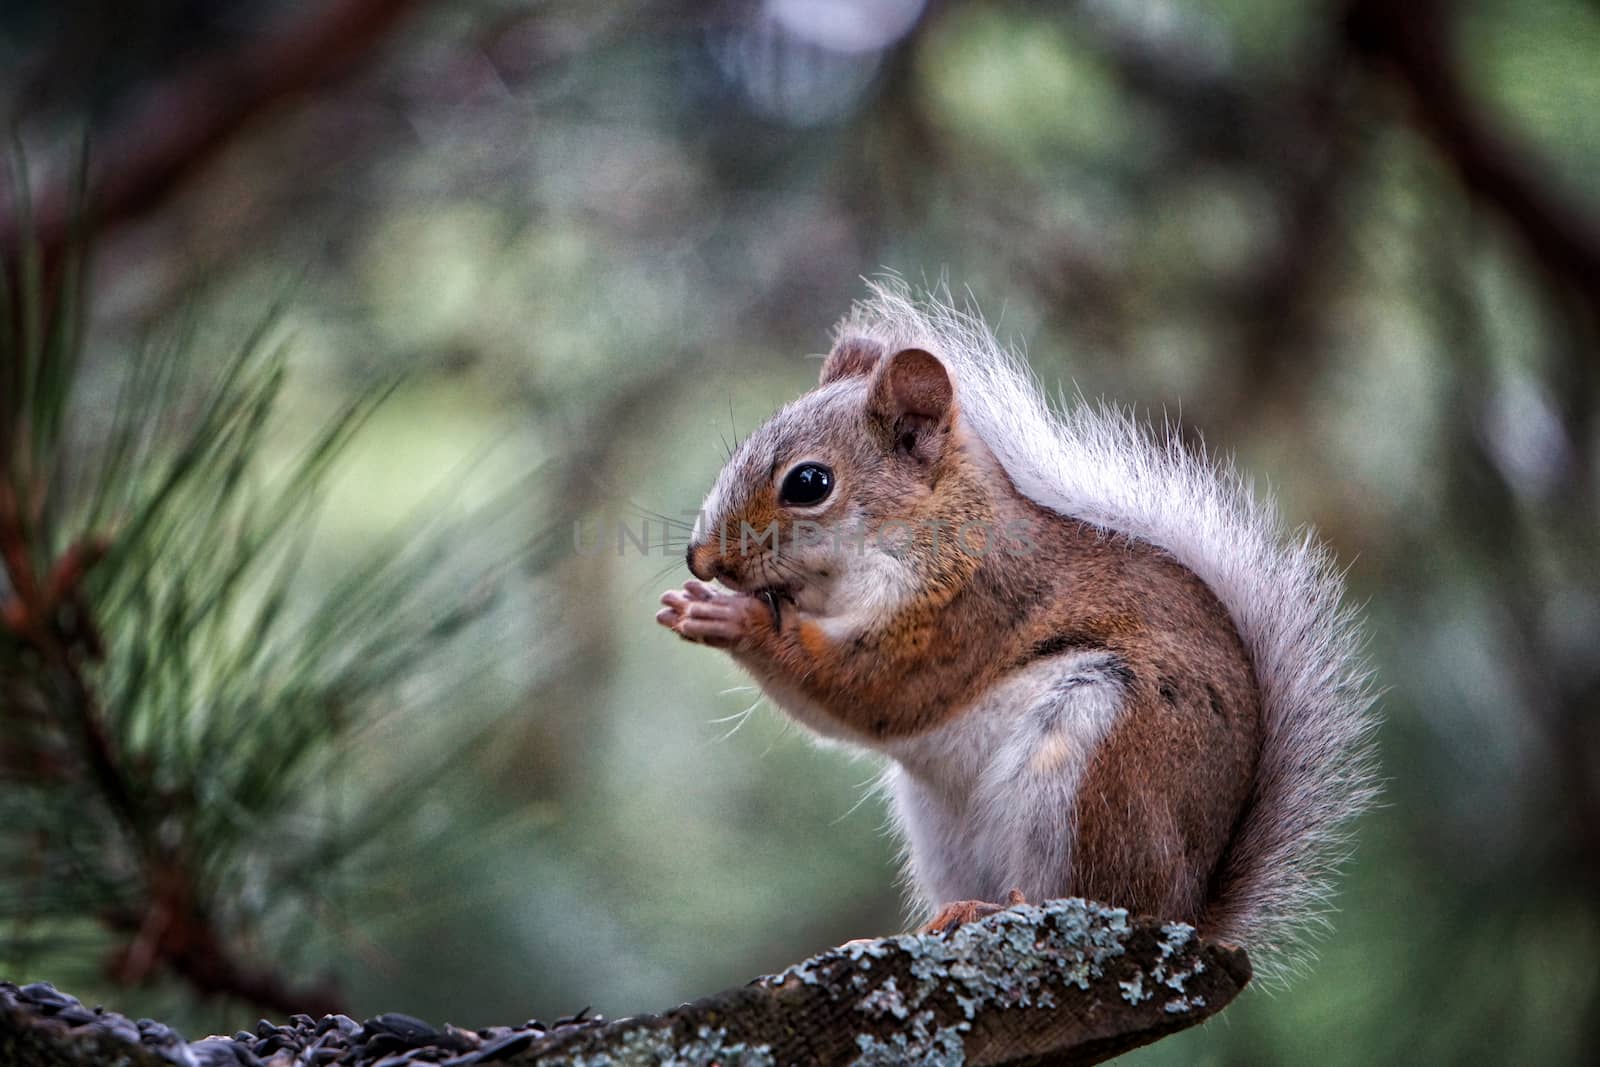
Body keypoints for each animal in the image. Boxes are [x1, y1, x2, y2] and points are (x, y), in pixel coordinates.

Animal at [656, 279, 1382, 979]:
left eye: (809, 482)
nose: (701, 558)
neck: (928, 532)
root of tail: (1186, 915)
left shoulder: (964, 611)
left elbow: (869, 690)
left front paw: (731, 618)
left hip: (1095, 766)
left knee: (1088, 898)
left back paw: (999, 910)